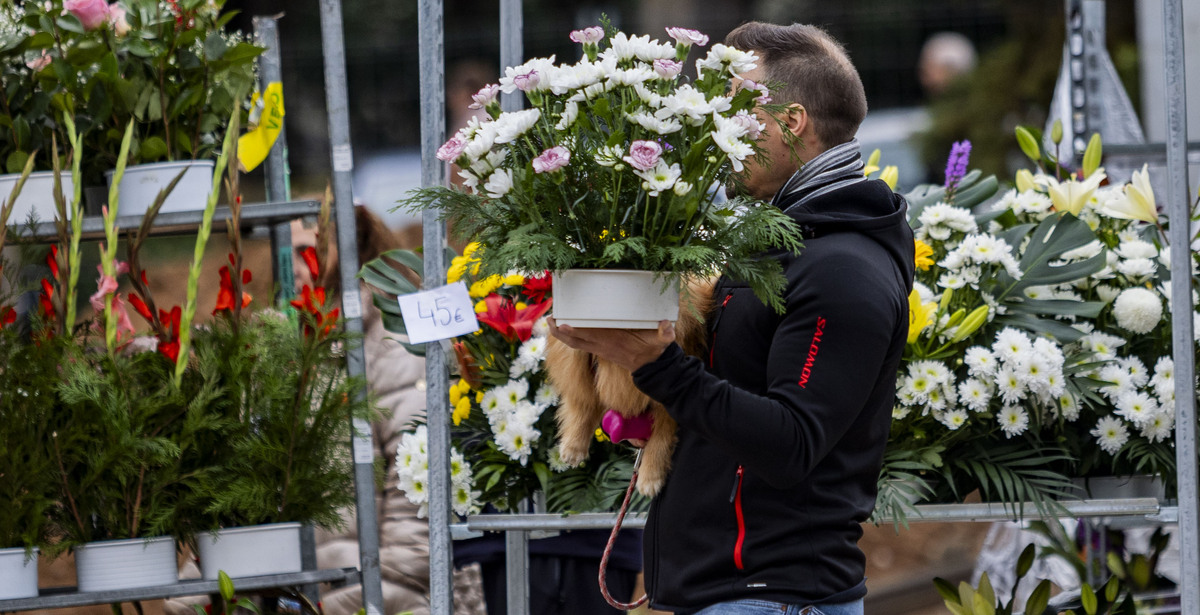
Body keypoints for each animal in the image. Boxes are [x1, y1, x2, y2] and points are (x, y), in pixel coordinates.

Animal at [549, 276, 715, 497]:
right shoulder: (581, 361)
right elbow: (583, 402)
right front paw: (573, 445)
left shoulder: (669, 396)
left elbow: (660, 438)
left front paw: (650, 477)